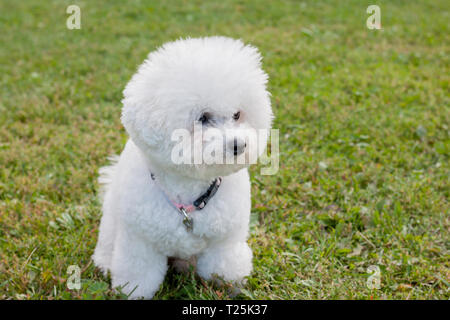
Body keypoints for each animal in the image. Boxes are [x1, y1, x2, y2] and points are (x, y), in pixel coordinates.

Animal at [93, 36, 272, 298]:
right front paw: (131, 292)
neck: (190, 191)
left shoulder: (225, 241)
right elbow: (138, 275)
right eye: (203, 118)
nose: (239, 145)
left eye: (237, 115)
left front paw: (232, 288)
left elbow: (224, 268)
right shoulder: (139, 244)